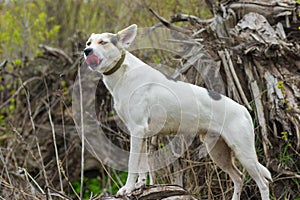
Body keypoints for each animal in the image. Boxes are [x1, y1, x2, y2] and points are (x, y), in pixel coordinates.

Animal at [82, 24, 272, 199]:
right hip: (219, 152)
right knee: (238, 177)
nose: (86, 51)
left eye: (103, 42)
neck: (123, 73)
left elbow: (132, 164)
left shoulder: (137, 130)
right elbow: (142, 166)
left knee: (262, 183)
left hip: (244, 153)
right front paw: (140, 186)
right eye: (89, 42)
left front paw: (127, 188)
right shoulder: (141, 134)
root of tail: (243, 109)